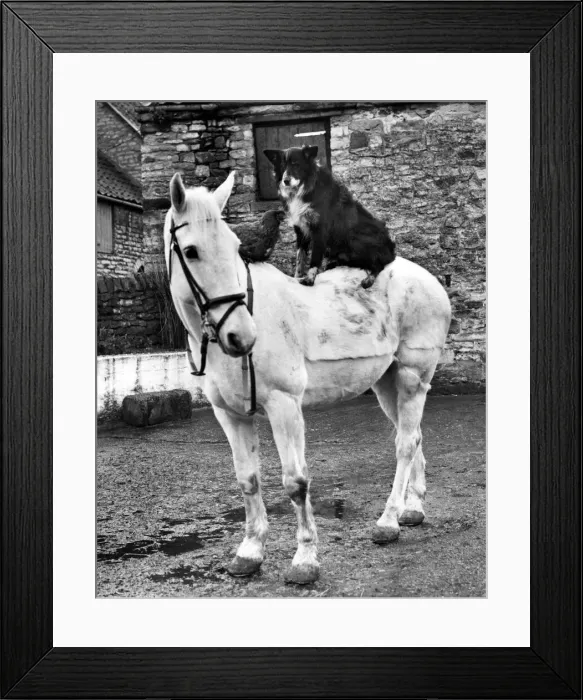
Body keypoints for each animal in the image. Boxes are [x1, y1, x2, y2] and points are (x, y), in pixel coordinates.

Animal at [165, 171, 452, 585]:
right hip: (386, 382)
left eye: (236, 248)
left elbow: (295, 483)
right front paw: (249, 552)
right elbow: (247, 478)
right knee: (413, 437)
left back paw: (388, 521)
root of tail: (430, 281)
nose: (242, 337)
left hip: (414, 376)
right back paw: (412, 509)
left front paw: (304, 560)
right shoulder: (229, 414)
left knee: (405, 443)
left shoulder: (284, 405)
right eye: (190, 251)